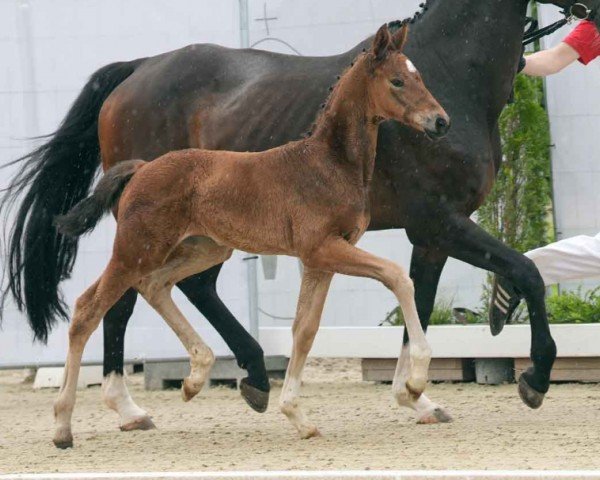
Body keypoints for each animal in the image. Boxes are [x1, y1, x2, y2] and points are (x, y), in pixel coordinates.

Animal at [52, 24, 450, 448]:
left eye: (419, 76)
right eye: (397, 81)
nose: (441, 121)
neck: (328, 163)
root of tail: (141, 168)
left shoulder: (321, 259)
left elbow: (304, 330)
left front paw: (297, 416)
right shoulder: (323, 248)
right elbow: (397, 277)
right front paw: (416, 381)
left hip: (204, 249)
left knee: (155, 285)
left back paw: (195, 377)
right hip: (136, 250)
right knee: (88, 308)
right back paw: (63, 426)